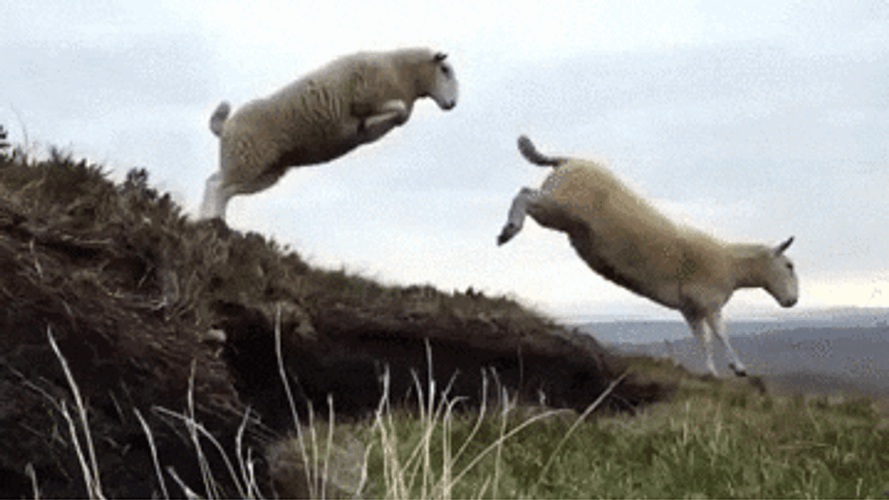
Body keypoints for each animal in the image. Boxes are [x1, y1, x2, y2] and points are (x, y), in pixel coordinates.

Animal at [199, 47, 458, 220]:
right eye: (445, 69)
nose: (452, 104)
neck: (403, 73)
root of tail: (225, 126)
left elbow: (401, 115)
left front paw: (367, 125)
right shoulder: (364, 100)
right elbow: (399, 110)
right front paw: (364, 123)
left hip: (263, 169)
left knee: (223, 188)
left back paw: (215, 222)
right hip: (248, 157)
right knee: (216, 185)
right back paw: (209, 221)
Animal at [497, 135, 799, 377]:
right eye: (789, 265)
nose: (793, 301)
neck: (733, 265)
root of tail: (568, 159)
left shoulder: (691, 308)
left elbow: (702, 340)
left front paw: (712, 373)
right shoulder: (709, 302)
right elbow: (721, 335)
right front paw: (739, 368)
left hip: (561, 210)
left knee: (526, 193)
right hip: (561, 206)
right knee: (525, 193)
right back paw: (509, 229)